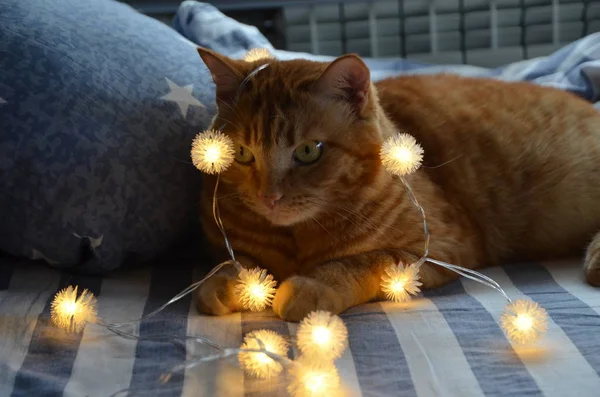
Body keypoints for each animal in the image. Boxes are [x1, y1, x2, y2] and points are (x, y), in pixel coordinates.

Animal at [195, 47, 600, 322]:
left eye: (309, 151)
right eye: (243, 153)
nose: (269, 197)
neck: (298, 239)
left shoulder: (437, 248)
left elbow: (365, 261)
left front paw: (312, 285)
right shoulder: (227, 244)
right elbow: (240, 262)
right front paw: (226, 281)